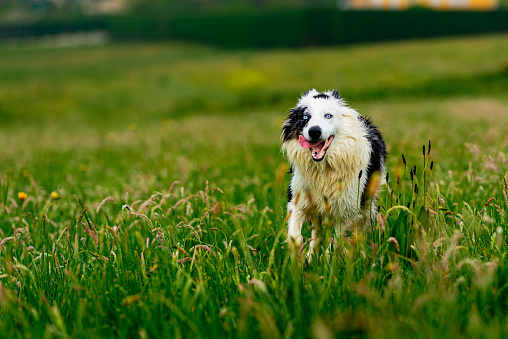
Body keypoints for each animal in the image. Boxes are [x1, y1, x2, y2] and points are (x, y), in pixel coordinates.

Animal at [282, 89, 384, 258]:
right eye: (305, 117)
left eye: (328, 116)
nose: (314, 131)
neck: (324, 167)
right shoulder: (299, 198)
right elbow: (295, 236)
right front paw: (300, 259)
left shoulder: (347, 208)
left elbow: (335, 241)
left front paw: (328, 261)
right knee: (316, 232)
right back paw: (311, 256)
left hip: (368, 199)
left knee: (363, 225)